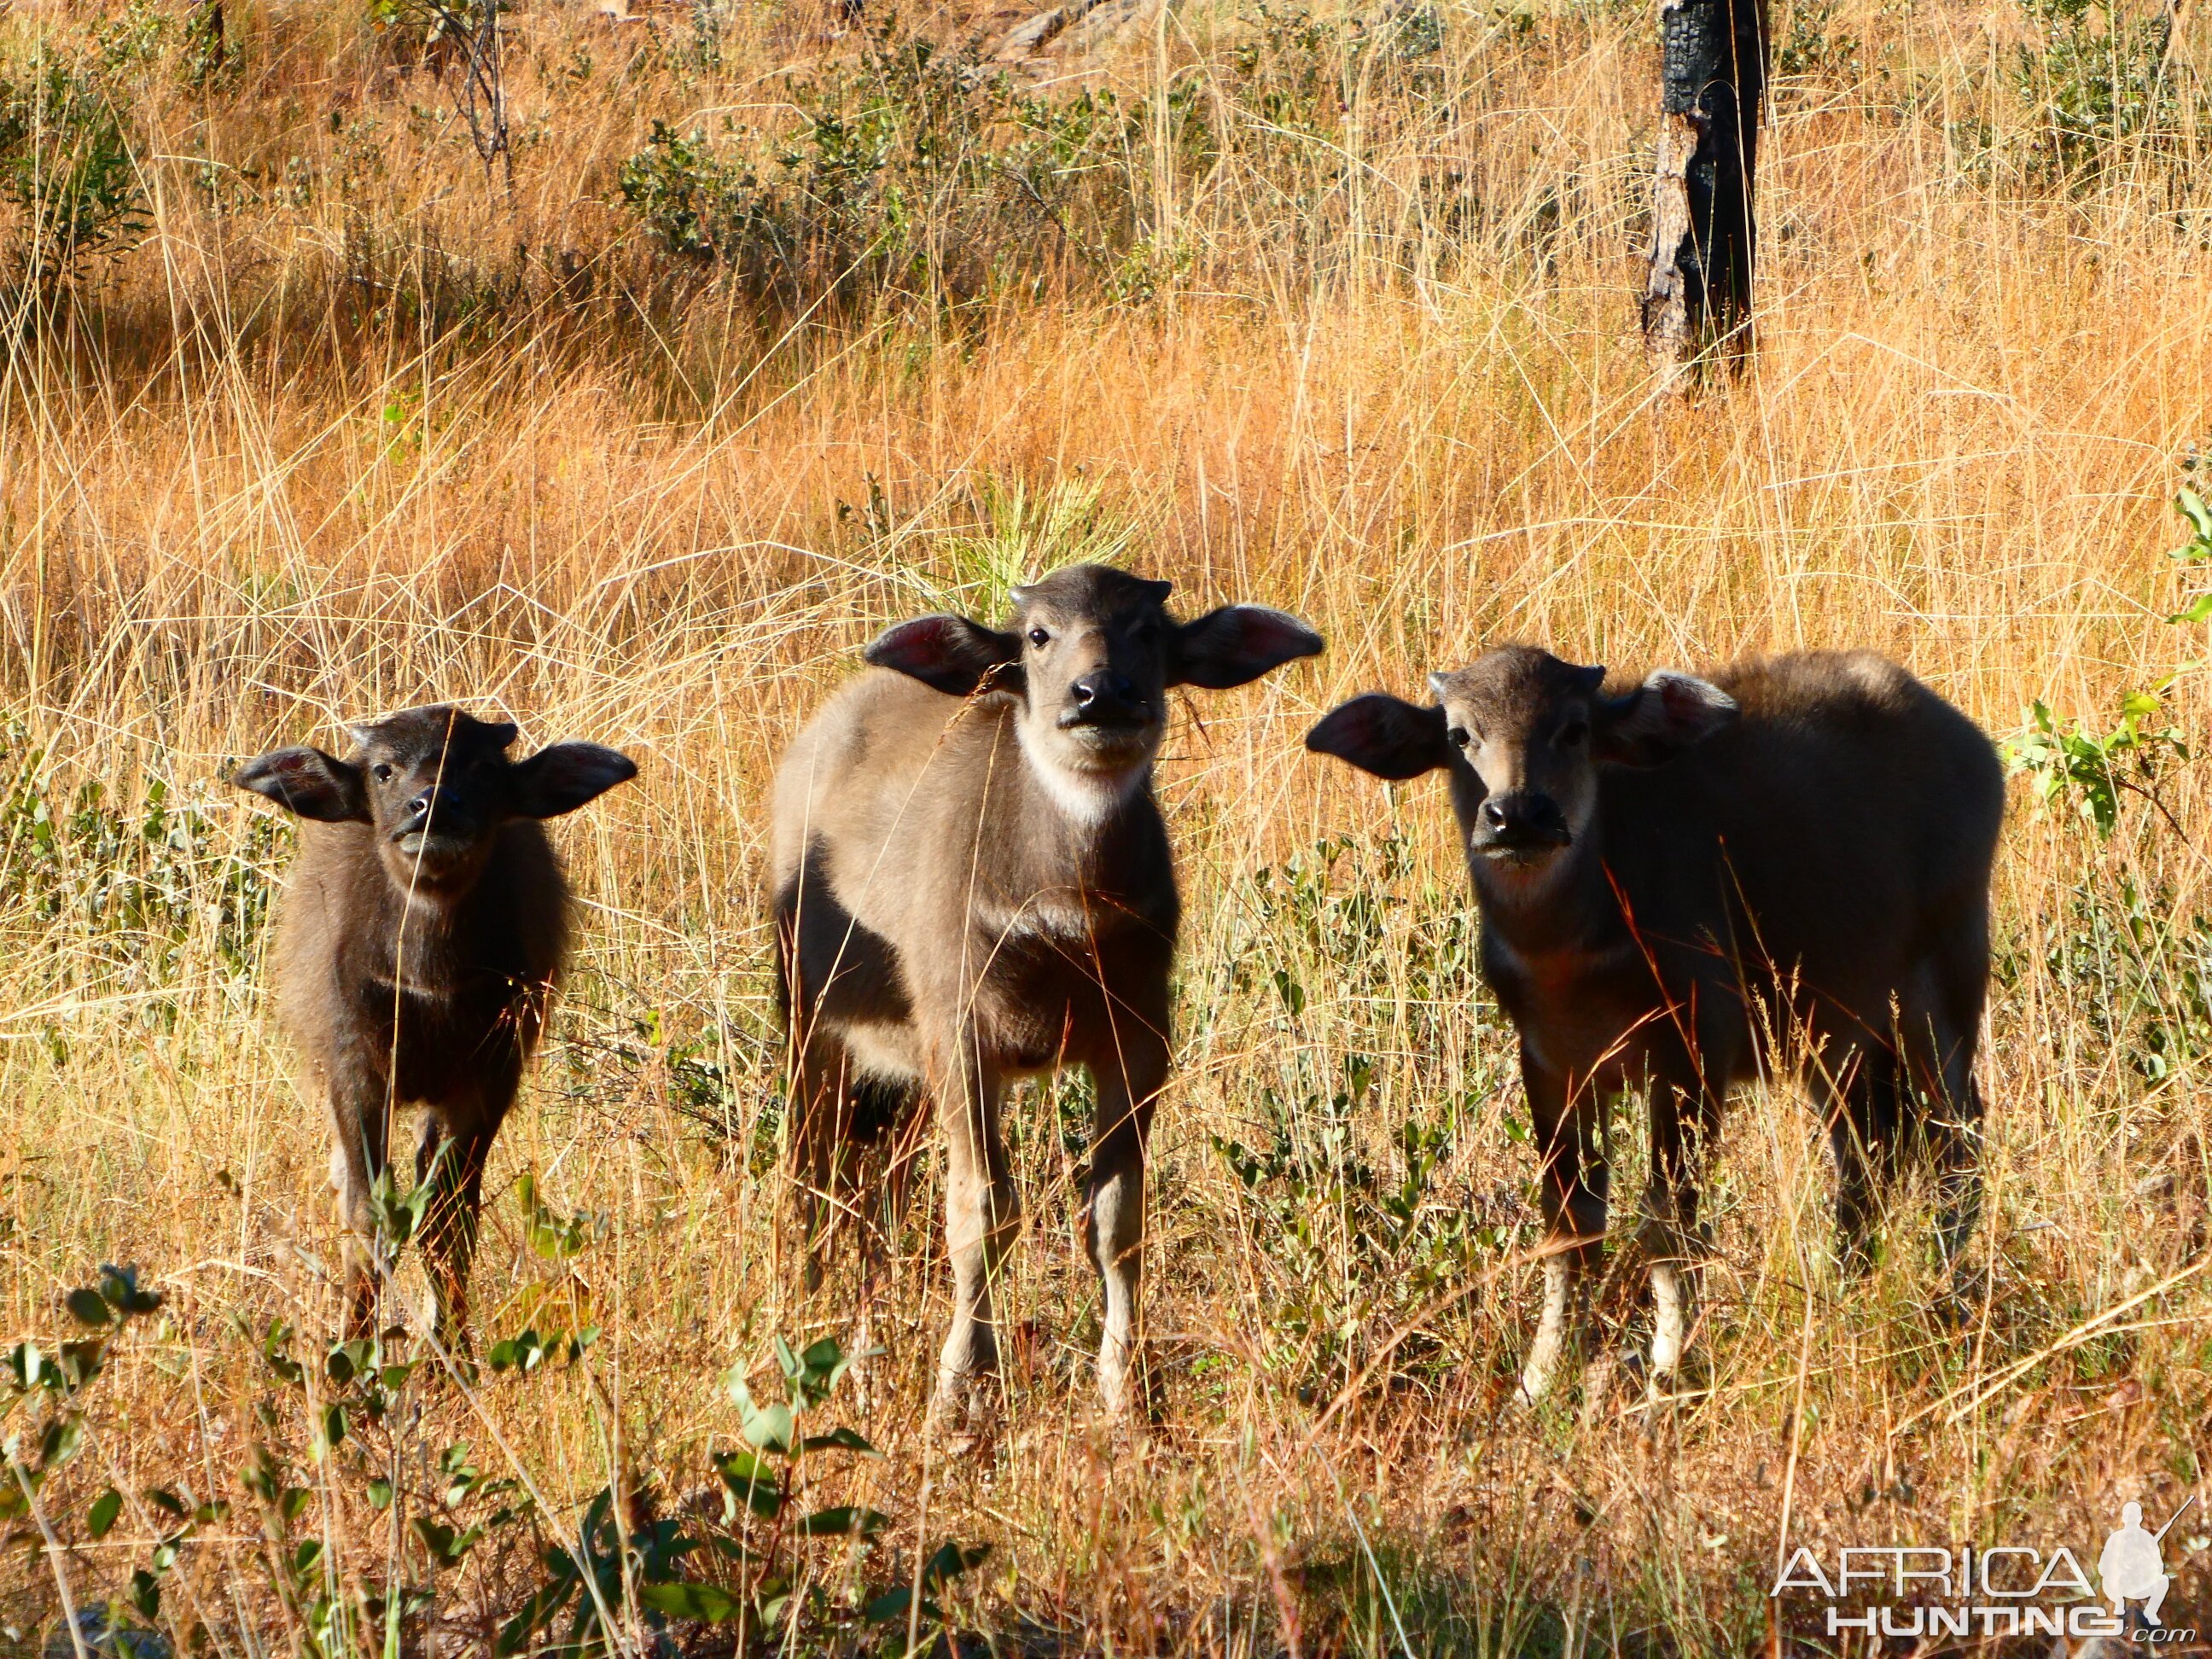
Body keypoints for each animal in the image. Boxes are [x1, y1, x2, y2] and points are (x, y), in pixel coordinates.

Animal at [234, 707, 632, 1344]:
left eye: (483, 767)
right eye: (383, 769)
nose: (433, 805)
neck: (428, 987)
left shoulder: (485, 1084)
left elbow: (449, 1221)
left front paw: (451, 1348)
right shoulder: (356, 1075)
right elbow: (368, 1214)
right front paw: (354, 1344)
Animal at [1301, 650, 2017, 1406]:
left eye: (1575, 728)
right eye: (1459, 735)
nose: (1517, 816)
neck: (1570, 951)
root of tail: (1969, 745)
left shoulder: (1691, 1055)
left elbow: (1668, 1222)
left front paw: (1668, 1372)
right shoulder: (1552, 1068)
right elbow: (1570, 1225)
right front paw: (1541, 1377)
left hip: (1940, 989)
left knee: (1955, 1141)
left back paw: (1941, 1288)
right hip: (1837, 1035)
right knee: (1868, 1155)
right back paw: (1840, 1289)